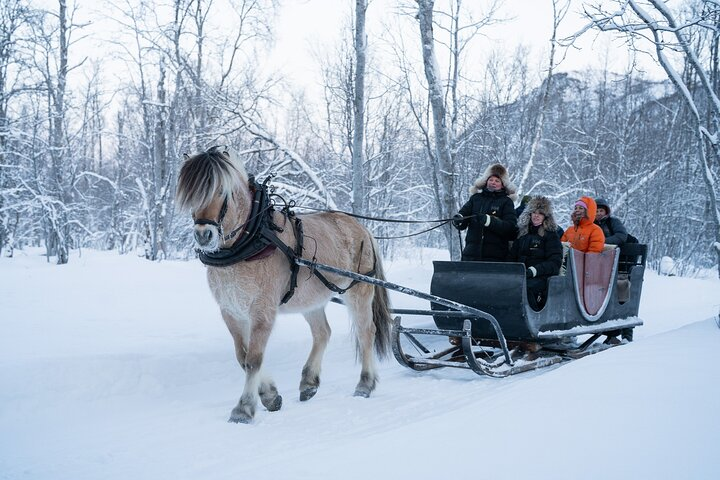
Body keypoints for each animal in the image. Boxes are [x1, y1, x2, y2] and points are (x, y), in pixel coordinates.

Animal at [176, 146, 394, 424]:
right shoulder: (231, 311)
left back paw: (364, 385)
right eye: (190, 194)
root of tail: (361, 227)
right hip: (312, 299)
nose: (204, 235)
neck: (251, 239)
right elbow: (242, 356)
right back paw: (309, 383)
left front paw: (244, 408)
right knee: (322, 333)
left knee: (367, 332)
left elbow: (254, 359)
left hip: (359, 290)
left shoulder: (262, 312)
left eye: (222, 191)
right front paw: (270, 395)